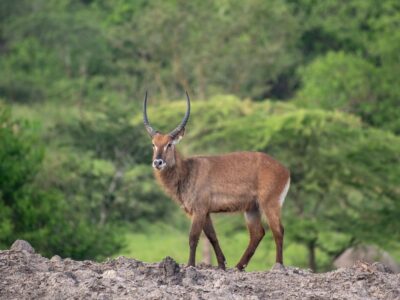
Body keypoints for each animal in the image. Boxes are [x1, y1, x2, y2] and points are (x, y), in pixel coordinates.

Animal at [142, 91, 290, 270]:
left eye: (169, 144)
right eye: (153, 144)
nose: (158, 162)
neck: (187, 171)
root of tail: (285, 170)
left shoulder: (199, 210)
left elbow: (193, 237)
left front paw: (190, 265)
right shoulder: (206, 212)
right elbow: (212, 236)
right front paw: (221, 264)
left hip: (270, 203)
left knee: (278, 230)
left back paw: (278, 265)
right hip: (252, 208)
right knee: (258, 233)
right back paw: (238, 266)